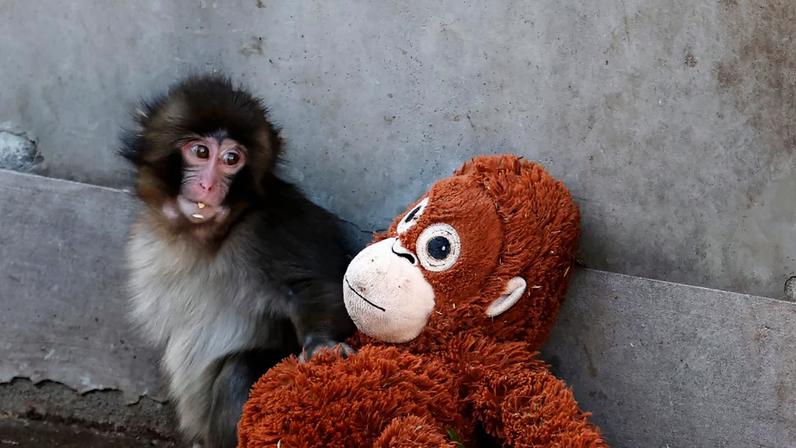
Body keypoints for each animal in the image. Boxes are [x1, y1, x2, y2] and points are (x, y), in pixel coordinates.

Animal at [119, 75, 356, 448]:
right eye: (201, 152)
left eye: (232, 158)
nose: (208, 184)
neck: (206, 236)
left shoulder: (275, 227)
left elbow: (316, 286)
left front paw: (322, 345)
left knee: (240, 372)